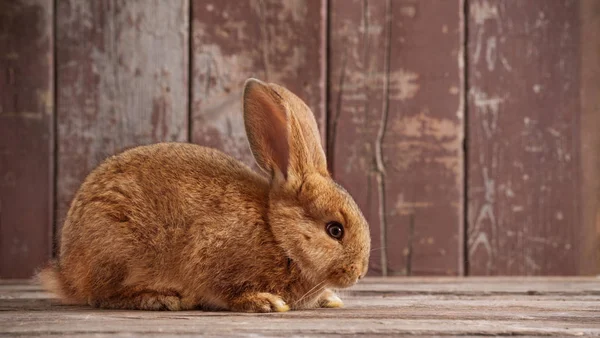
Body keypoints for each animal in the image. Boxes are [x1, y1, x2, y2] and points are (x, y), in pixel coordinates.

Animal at [38, 78, 370, 312]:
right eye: (335, 230)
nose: (360, 273)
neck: (278, 235)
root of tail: (68, 275)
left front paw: (329, 298)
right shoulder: (212, 255)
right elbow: (230, 292)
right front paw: (265, 302)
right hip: (117, 251)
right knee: (101, 296)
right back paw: (162, 299)